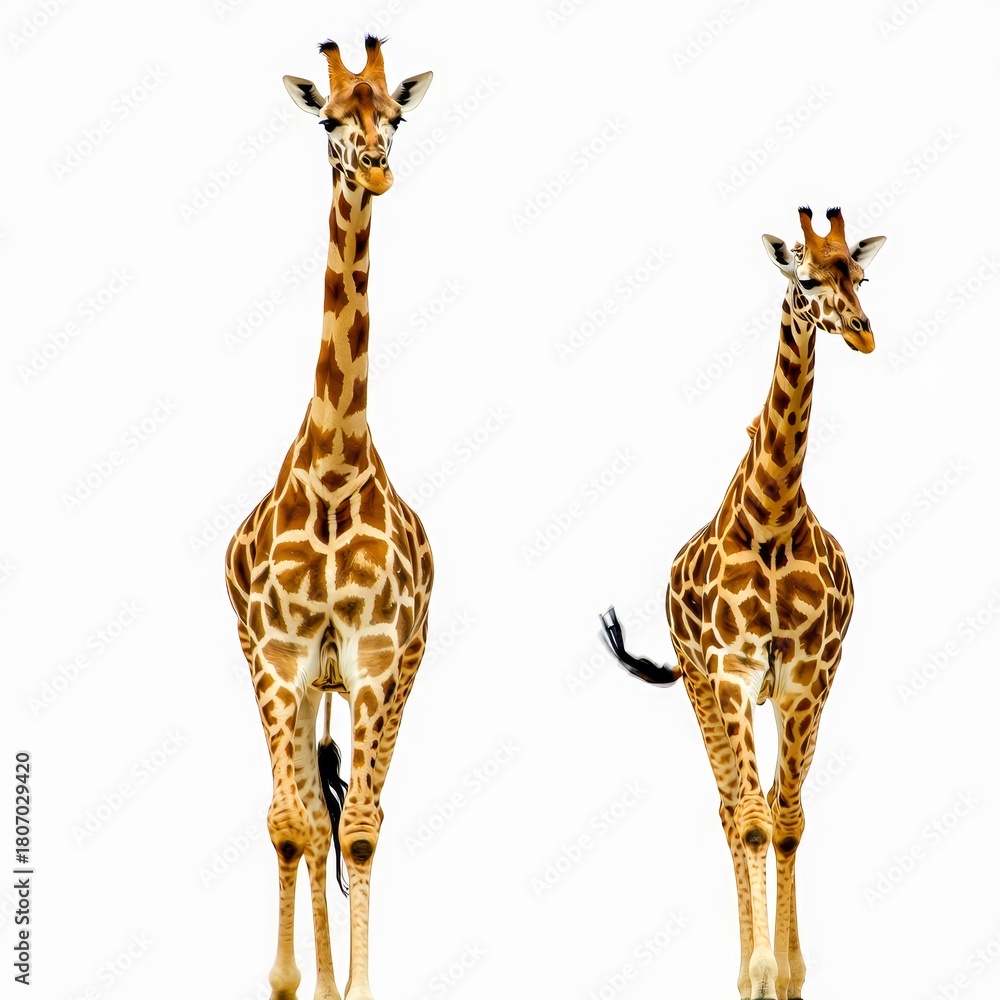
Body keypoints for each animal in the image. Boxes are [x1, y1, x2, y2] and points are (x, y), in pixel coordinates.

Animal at [601, 207, 885, 1000]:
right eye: (806, 279)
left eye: (862, 275)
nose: (862, 331)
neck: (774, 516)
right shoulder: (731, 669)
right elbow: (755, 819)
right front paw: (759, 974)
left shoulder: (806, 679)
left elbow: (787, 819)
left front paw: (790, 974)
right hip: (698, 684)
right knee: (731, 809)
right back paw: (736, 970)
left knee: (766, 807)